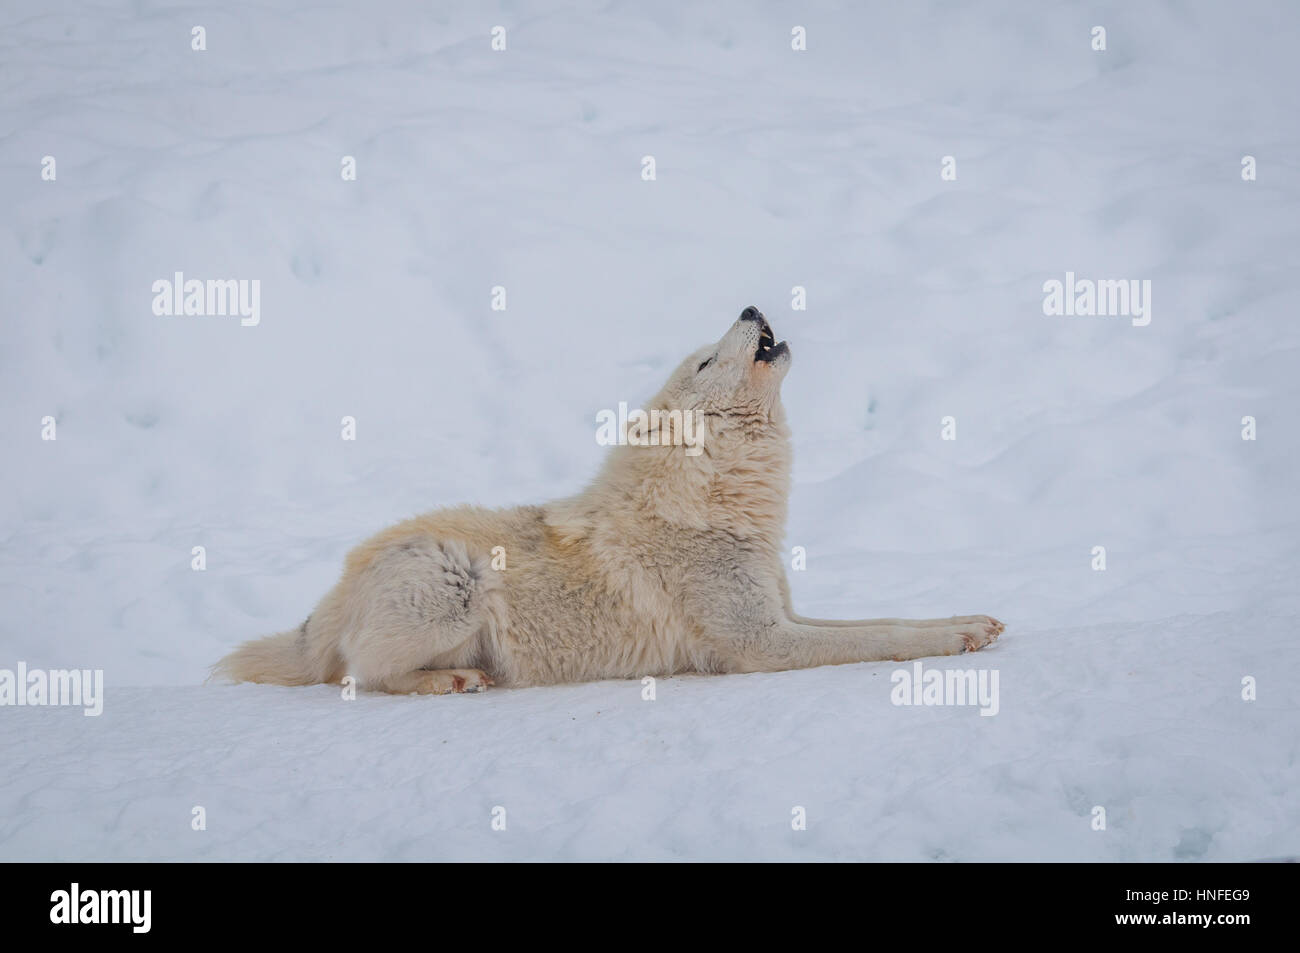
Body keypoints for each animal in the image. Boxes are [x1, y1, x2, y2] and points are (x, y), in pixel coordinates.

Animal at [218, 308, 998, 696]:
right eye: (705, 361)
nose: (750, 305)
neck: (716, 504)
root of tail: (325, 604)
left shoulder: (784, 612)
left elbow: (890, 616)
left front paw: (971, 622)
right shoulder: (761, 642)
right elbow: (879, 636)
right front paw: (951, 641)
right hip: (454, 581)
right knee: (362, 675)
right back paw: (452, 679)